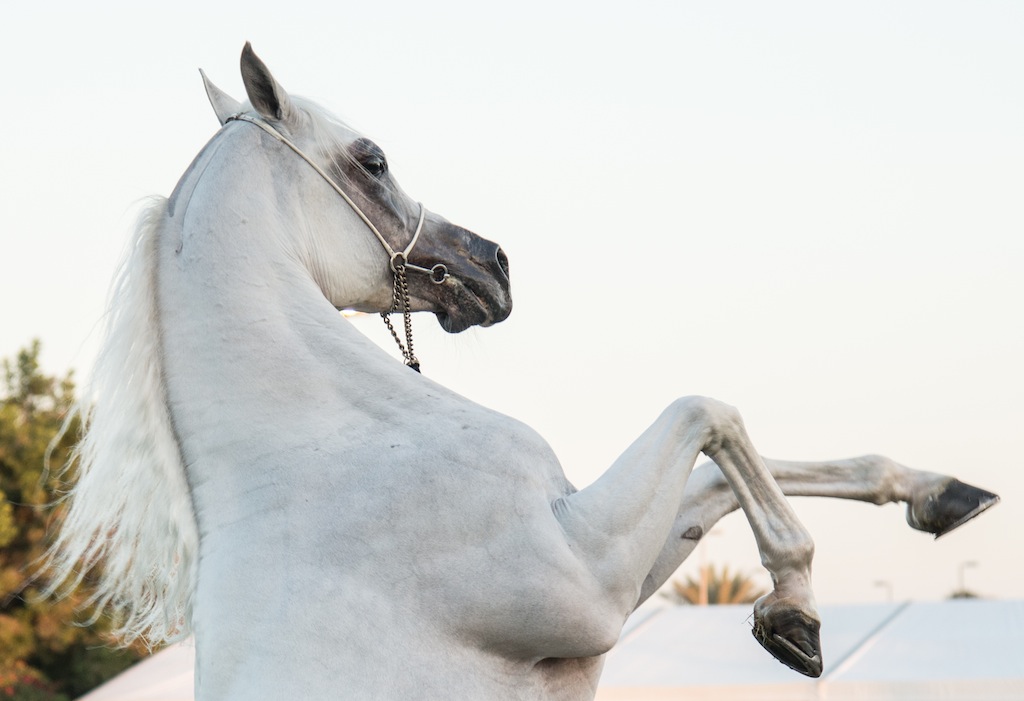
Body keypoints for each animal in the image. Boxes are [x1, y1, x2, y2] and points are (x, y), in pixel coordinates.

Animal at [48, 44, 999, 700]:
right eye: (373, 158)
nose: (494, 265)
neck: (325, 447)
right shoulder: (588, 577)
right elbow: (708, 411)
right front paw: (795, 613)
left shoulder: (604, 563)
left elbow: (723, 479)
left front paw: (938, 493)